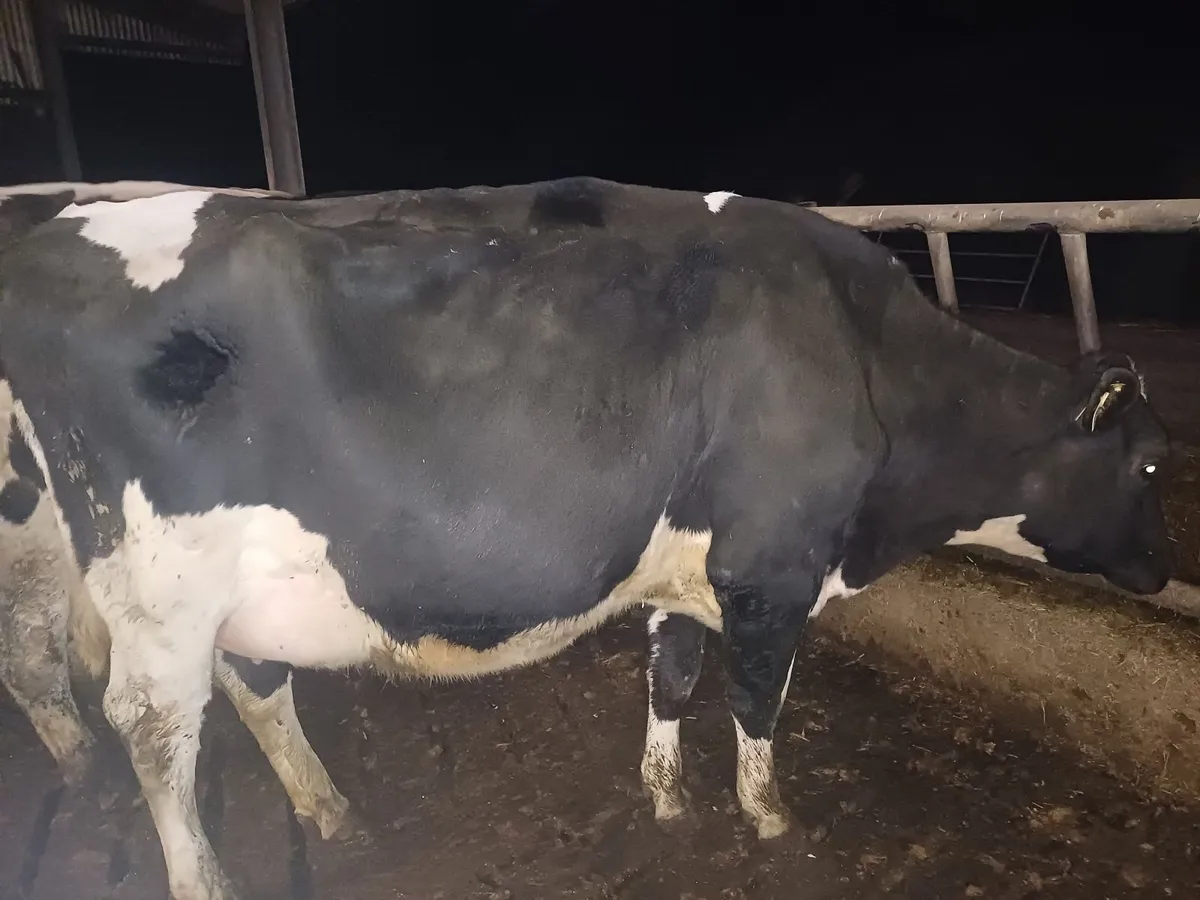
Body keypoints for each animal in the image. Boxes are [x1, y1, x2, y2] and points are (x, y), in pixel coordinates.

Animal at [0, 176, 1171, 900]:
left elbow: (671, 673)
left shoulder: (688, 565)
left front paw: (664, 797)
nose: (1166, 573)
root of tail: (49, 239)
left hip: (235, 580)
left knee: (245, 682)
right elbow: (757, 700)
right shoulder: (772, 567)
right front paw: (770, 820)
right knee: (150, 724)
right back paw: (204, 872)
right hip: (158, 584)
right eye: (1157, 465)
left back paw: (330, 813)